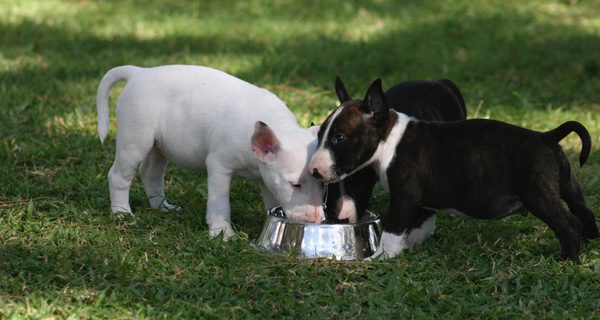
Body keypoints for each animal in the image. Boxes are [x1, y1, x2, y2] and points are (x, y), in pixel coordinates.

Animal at [96, 64, 326, 238]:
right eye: (295, 184)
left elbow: (272, 199)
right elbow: (220, 201)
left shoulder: (266, 175)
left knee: (150, 172)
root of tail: (139, 72)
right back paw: (122, 213)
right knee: (118, 176)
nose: (317, 220)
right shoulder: (219, 165)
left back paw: (162, 206)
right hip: (135, 138)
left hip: (159, 145)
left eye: (323, 184)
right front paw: (222, 232)